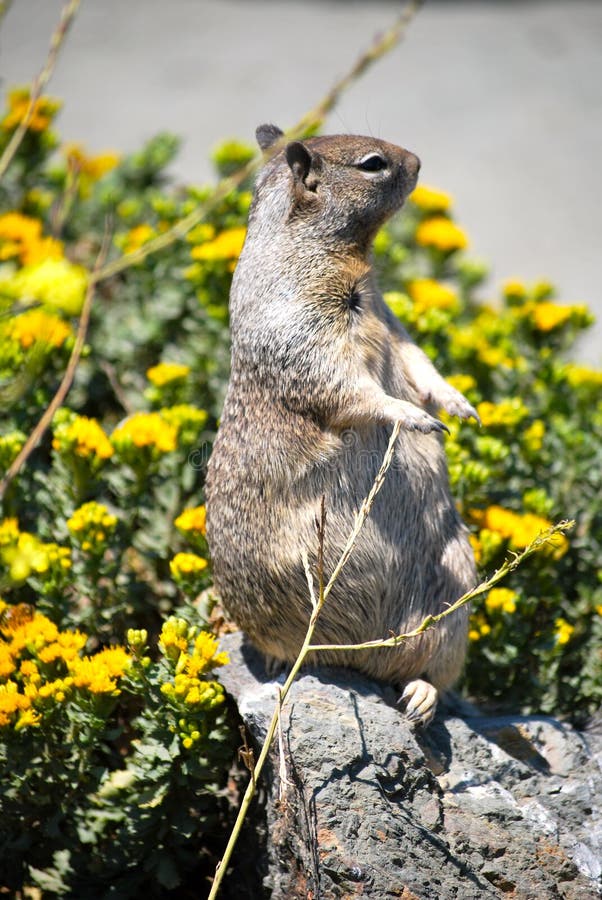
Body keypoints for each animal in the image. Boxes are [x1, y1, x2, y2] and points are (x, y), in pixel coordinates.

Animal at [206, 125, 478, 732]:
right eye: (373, 163)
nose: (418, 161)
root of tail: (364, 658)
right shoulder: (303, 330)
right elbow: (351, 389)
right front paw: (414, 418)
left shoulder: (389, 319)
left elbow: (421, 365)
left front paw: (459, 406)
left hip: (456, 594)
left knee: (429, 667)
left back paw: (420, 696)